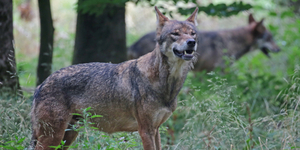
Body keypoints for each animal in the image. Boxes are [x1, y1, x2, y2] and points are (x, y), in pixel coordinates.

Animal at [28, 6, 199, 150]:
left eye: (192, 33)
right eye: (175, 33)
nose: (192, 42)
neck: (166, 85)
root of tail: (41, 84)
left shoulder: (156, 129)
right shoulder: (145, 130)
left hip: (67, 136)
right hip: (53, 137)